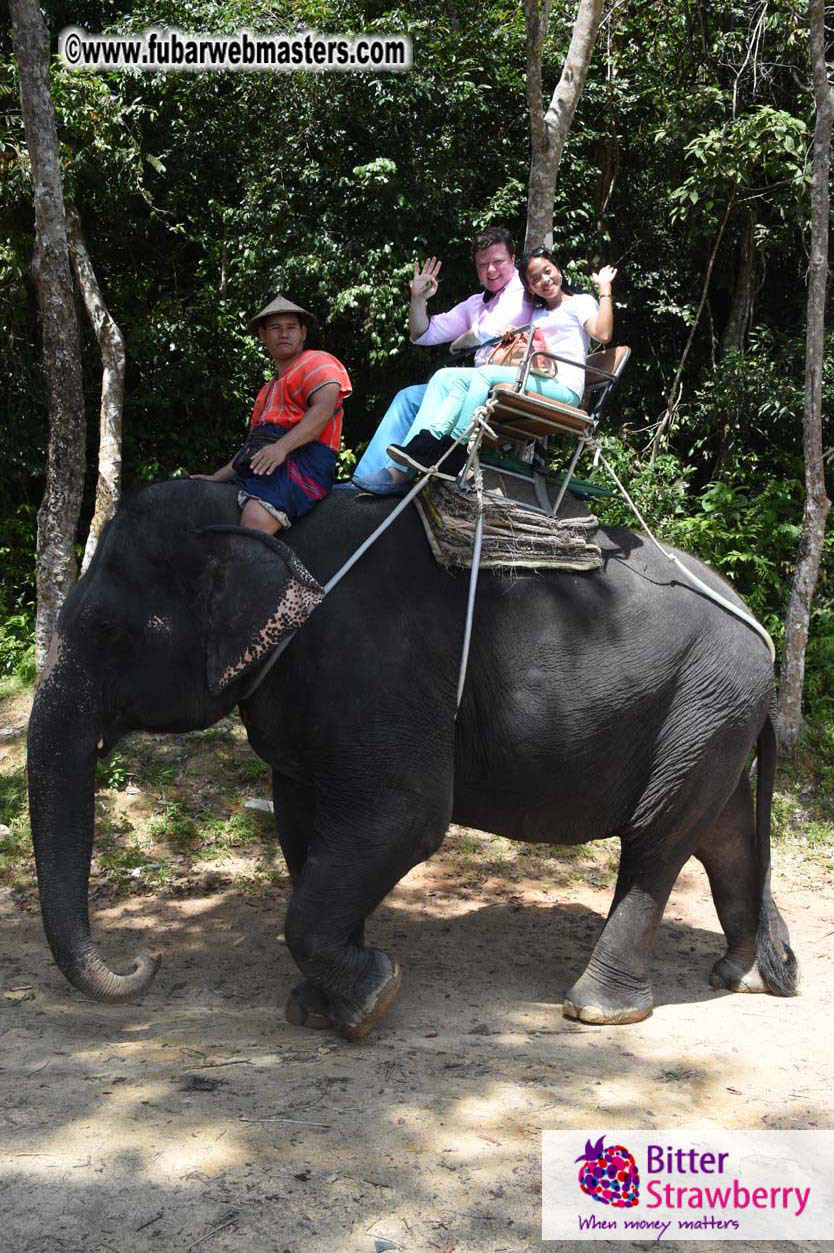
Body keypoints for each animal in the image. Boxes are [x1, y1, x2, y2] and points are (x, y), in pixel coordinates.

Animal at [27, 479, 797, 1038]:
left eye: (107, 628)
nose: (143, 958)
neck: (260, 523)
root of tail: (763, 635)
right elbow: (301, 824)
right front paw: (318, 1008)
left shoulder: (377, 669)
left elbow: (406, 817)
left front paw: (371, 1001)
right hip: (712, 716)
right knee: (721, 830)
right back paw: (746, 975)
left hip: (704, 701)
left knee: (656, 840)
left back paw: (599, 1011)